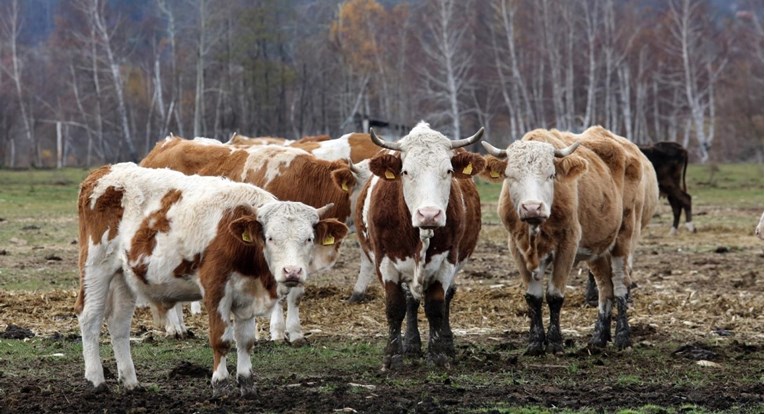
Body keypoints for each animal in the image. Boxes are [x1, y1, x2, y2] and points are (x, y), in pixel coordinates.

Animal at [75, 162, 346, 394]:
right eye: (270, 238)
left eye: (308, 238)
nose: (292, 272)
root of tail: (102, 172)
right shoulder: (216, 290)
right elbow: (221, 339)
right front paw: (220, 384)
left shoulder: (247, 294)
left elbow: (245, 341)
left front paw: (246, 383)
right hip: (96, 267)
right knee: (90, 317)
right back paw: (96, 380)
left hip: (124, 277)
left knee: (119, 324)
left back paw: (131, 382)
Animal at [140, 136, 362, 342]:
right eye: (270, 238)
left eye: (309, 238)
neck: (307, 181)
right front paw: (276, 332)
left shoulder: (299, 260)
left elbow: (295, 295)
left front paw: (295, 333)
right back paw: (174, 327)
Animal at [354, 121, 484, 368]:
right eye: (406, 171)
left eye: (448, 171)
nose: (429, 214)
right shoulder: (385, 262)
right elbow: (395, 307)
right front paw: (393, 356)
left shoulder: (447, 262)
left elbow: (436, 307)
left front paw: (438, 355)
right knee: (410, 301)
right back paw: (412, 345)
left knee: (446, 297)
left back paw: (446, 343)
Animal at [484, 125, 656, 352]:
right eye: (510, 175)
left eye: (551, 175)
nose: (532, 207)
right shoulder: (516, 247)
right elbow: (533, 297)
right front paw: (535, 342)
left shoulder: (568, 244)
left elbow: (555, 296)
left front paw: (555, 342)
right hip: (598, 249)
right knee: (605, 288)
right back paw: (599, 338)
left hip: (625, 238)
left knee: (620, 286)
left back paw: (622, 337)